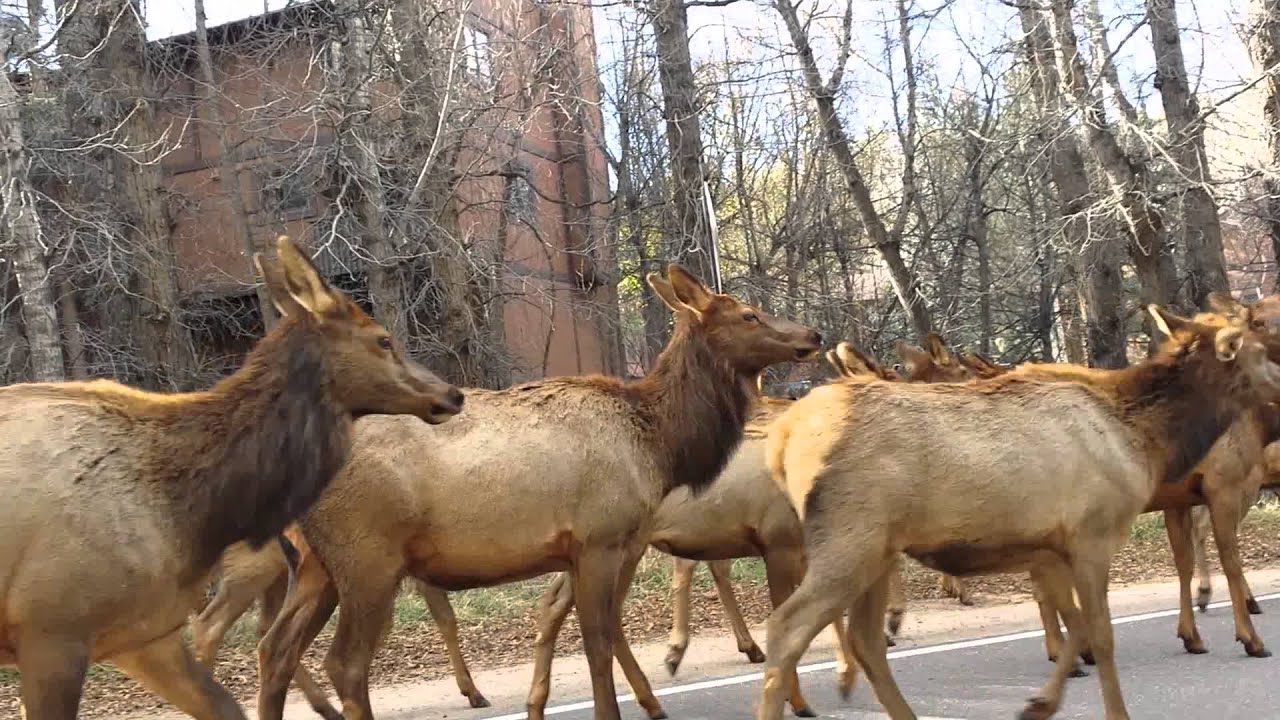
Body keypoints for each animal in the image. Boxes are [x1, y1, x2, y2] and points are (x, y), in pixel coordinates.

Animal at [0, 235, 463, 720]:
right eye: (383, 339)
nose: (452, 394)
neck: (187, 512)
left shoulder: (143, 634)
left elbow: (225, 706)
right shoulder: (52, 630)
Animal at [252, 264, 823, 720]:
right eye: (749, 315)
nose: (813, 334)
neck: (659, 444)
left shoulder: (600, 547)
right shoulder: (599, 540)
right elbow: (596, 644)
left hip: (318, 567)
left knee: (275, 650)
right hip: (367, 559)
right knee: (344, 663)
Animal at [758, 298, 1280, 720]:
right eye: (1260, 345)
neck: (1146, 441)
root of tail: (782, 441)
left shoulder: (1049, 547)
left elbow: (1076, 625)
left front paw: (1040, 703)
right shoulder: (1093, 533)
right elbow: (1100, 634)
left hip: (878, 551)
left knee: (866, 641)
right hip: (851, 540)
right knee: (785, 628)